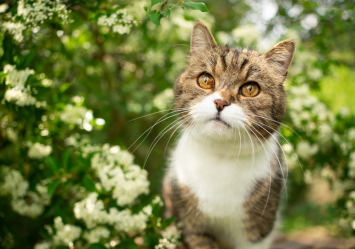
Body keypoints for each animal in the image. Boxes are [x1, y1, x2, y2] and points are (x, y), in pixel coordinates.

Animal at [163, 21, 296, 249]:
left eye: (250, 89)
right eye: (206, 80)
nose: (220, 102)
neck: (220, 157)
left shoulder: (257, 231)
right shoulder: (193, 226)